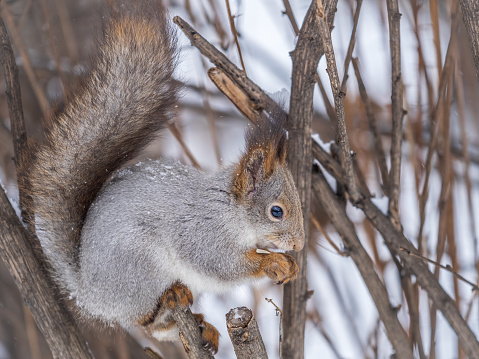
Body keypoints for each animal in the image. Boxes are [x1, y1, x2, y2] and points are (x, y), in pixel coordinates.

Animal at [19, 0, 304, 354]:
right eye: (276, 211)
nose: (300, 244)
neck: (229, 210)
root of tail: (89, 292)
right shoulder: (201, 233)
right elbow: (221, 264)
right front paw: (272, 262)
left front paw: (290, 264)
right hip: (140, 268)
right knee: (145, 319)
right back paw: (174, 297)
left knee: (155, 329)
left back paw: (204, 328)